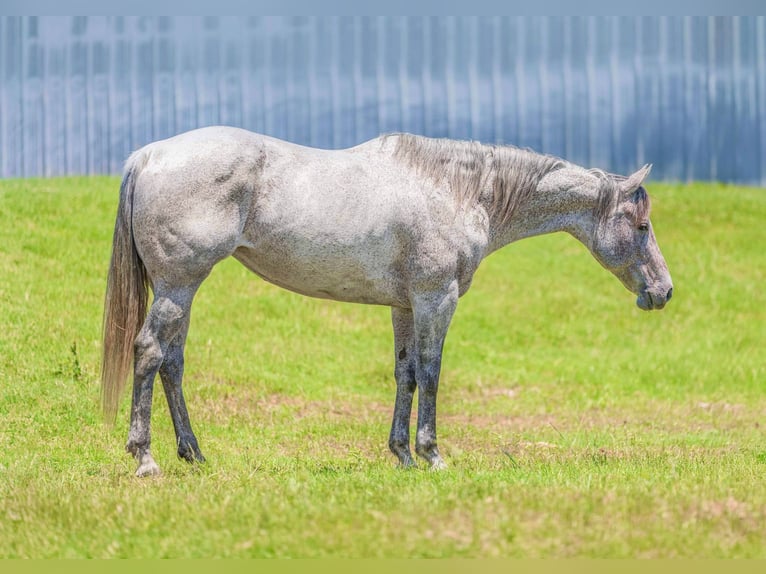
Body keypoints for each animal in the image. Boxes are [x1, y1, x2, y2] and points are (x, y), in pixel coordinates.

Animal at [99, 128, 676, 480]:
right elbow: (432, 371)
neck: (459, 190)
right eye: (642, 226)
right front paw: (432, 455)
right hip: (177, 286)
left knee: (172, 362)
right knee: (149, 353)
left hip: (183, 289)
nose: (663, 291)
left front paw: (401, 455)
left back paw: (194, 453)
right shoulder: (436, 298)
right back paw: (145, 458)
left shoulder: (404, 306)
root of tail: (149, 156)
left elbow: (406, 373)